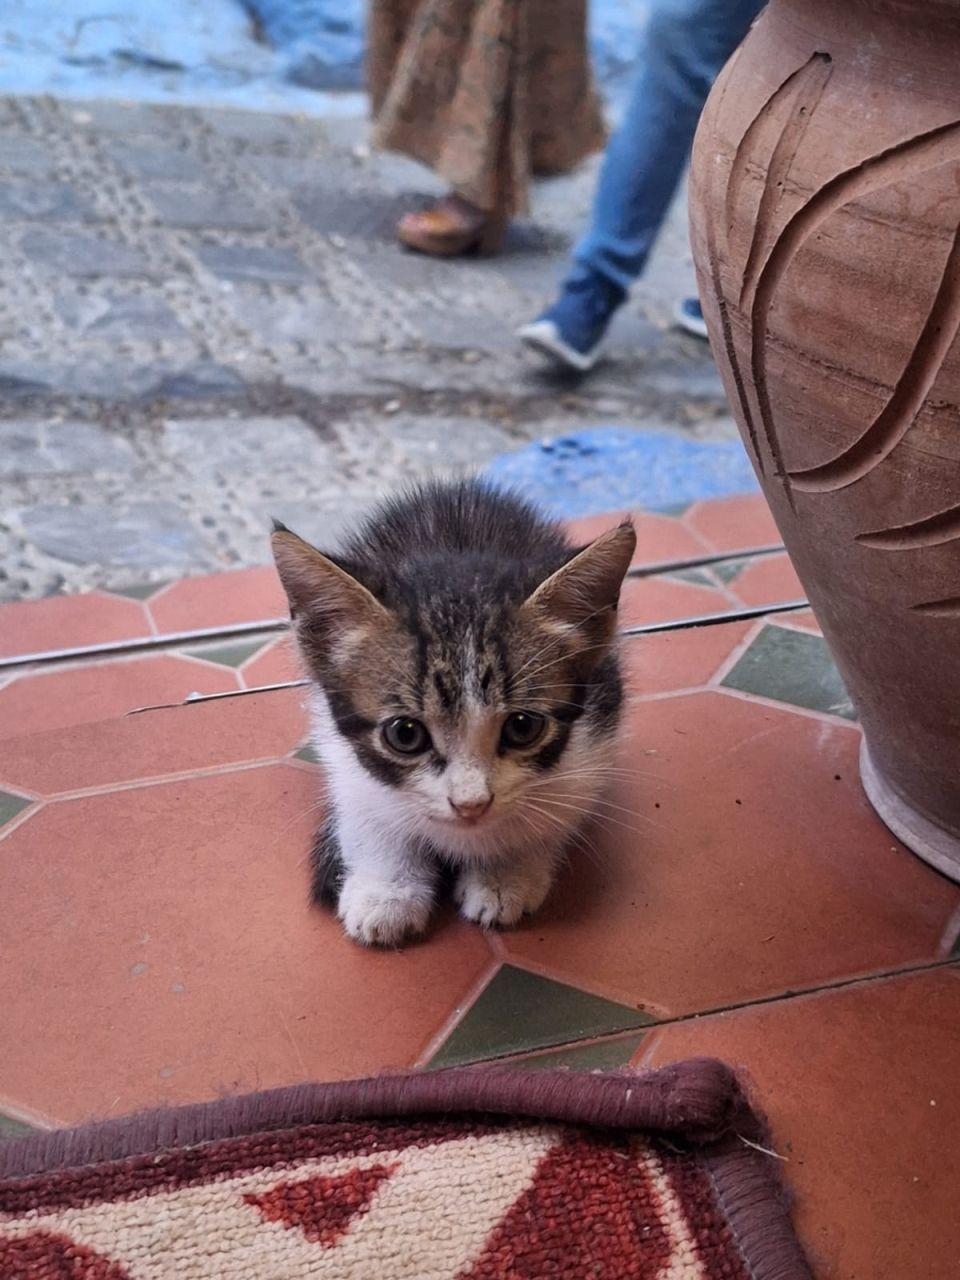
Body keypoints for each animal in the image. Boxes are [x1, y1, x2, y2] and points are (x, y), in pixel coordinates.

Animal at [271, 476, 634, 947]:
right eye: (405, 734)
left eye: (523, 726)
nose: (471, 805)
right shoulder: (338, 746)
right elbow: (363, 807)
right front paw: (386, 889)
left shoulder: (598, 730)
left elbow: (553, 810)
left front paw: (505, 872)